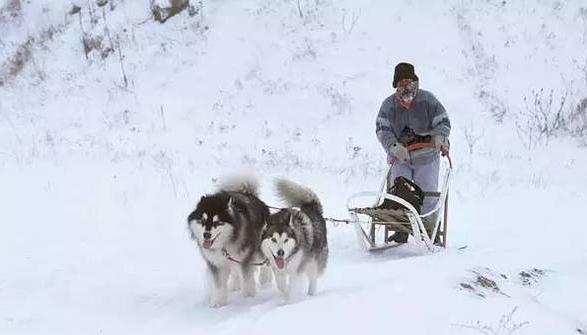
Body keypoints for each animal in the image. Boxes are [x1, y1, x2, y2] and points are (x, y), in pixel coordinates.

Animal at [187, 177, 270, 308]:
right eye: (203, 221)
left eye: (217, 222)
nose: (206, 235)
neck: (225, 243)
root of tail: (248, 193)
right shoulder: (216, 263)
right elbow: (219, 284)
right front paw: (218, 302)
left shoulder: (245, 258)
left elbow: (247, 280)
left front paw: (248, 299)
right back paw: (235, 285)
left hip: (258, 246)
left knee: (265, 261)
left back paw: (265, 279)